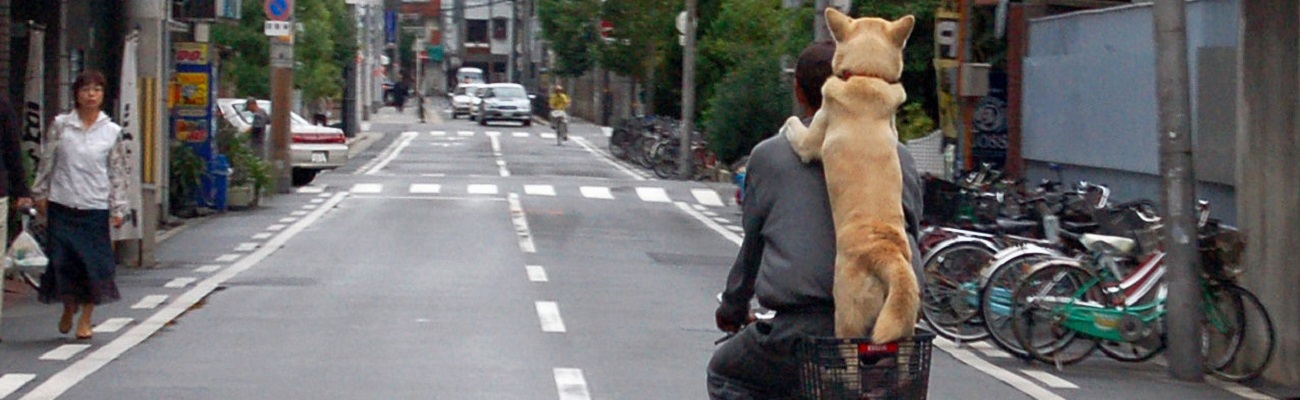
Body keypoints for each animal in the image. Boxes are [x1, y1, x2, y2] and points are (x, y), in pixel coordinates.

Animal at [780, 10, 915, 345]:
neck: (866, 76)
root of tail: (887, 255)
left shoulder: (810, 141)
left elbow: (793, 124)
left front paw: (783, 124)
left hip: (847, 315)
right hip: (903, 320)